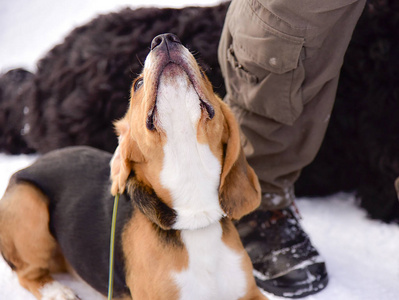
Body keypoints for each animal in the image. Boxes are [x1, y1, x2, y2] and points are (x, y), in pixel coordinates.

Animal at [0, 33, 268, 300]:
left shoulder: (251, 293)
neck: (195, 216)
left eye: (203, 72)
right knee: (28, 273)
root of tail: (25, 169)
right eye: (138, 84)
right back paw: (57, 292)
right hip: (29, 205)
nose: (165, 38)